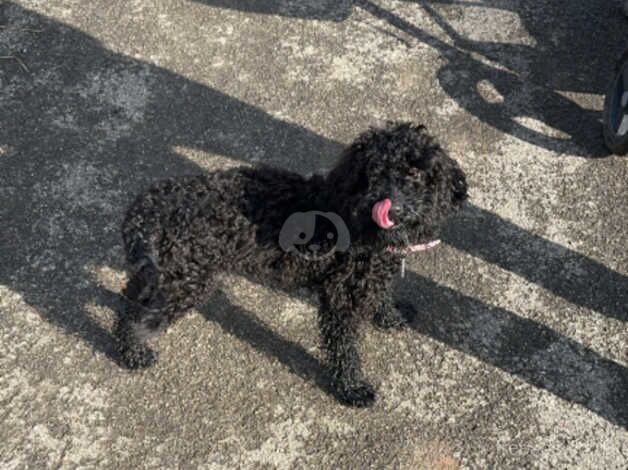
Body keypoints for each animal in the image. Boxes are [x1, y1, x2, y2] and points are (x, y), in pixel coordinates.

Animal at [116, 123, 466, 406]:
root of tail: (151, 205)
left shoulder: (370, 277)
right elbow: (344, 346)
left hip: (164, 273)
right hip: (187, 283)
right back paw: (133, 353)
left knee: (131, 295)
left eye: (416, 172)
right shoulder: (340, 297)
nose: (390, 207)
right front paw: (351, 388)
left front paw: (391, 317)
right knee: (141, 317)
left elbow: (381, 296)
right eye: (374, 171)